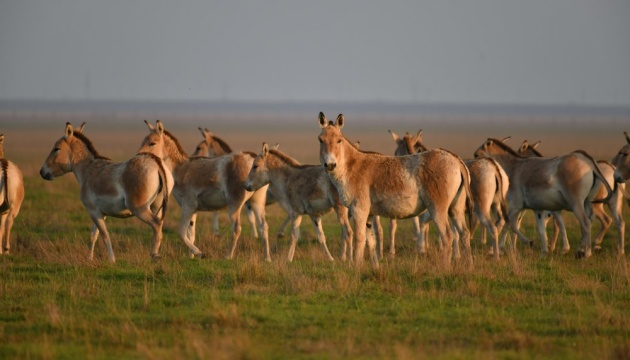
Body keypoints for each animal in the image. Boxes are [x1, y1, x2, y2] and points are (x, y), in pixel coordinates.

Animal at [39, 123, 173, 262]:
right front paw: (89, 259)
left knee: (156, 224)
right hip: (157, 206)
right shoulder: (100, 213)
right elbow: (93, 235)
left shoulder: (93, 211)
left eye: (56, 148)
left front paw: (111, 260)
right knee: (159, 225)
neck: (88, 170)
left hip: (139, 209)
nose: (42, 172)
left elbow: (104, 235)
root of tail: (155, 162)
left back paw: (154, 255)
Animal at [139, 121, 272, 262]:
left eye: (152, 143)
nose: (139, 156)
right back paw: (267, 258)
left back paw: (228, 256)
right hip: (257, 201)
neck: (180, 169)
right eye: (143, 141)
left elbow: (181, 231)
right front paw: (191, 257)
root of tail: (252, 157)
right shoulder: (193, 209)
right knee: (264, 227)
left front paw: (199, 253)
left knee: (236, 228)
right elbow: (190, 233)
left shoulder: (188, 206)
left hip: (235, 204)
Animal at [320, 112, 474, 268]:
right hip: (456, 208)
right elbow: (371, 241)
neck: (351, 166)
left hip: (437, 207)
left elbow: (360, 239)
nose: (330, 165)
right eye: (320, 140)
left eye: (339, 140)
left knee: (447, 235)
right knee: (464, 233)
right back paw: (468, 268)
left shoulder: (358, 209)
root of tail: (456, 160)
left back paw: (444, 268)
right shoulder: (369, 214)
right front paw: (375, 267)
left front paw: (357, 268)